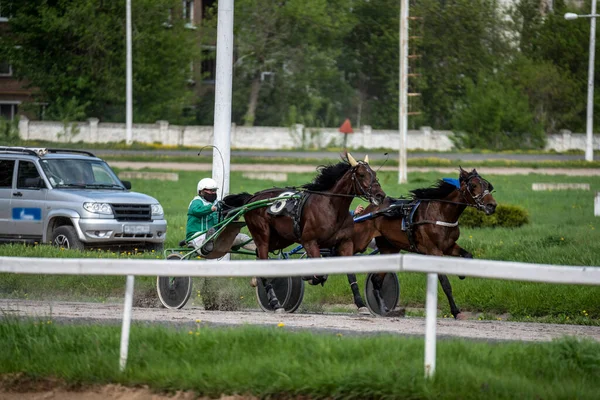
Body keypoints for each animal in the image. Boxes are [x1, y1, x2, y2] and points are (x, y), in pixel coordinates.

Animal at [223, 153, 386, 312]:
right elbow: (318, 272)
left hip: (279, 239)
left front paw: (361, 304)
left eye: (374, 173)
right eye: (361, 175)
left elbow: (350, 274)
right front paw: (310, 277)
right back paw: (275, 304)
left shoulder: (345, 242)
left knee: (259, 255)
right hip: (262, 234)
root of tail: (251, 198)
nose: (380, 195)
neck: (331, 208)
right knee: (262, 260)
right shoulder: (309, 241)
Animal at [352, 168, 496, 318]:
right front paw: (456, 311)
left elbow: (468, 255)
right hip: (361, 240)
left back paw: (384, 309)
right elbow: (446, 284)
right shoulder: (434, 251)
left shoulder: (449, 246)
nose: (492, 205)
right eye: (473, 185)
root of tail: (369, 210)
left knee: (376, 280)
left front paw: (462, 274)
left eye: (487, 185)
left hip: (389, 248)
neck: (441, 213)